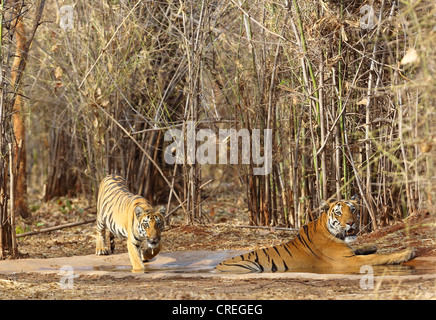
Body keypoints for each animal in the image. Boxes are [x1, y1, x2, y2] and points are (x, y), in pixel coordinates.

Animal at [216, 198, 414, 272]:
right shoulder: (347, 261)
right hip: (250, 265)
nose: (351, 223)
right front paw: (407, 252)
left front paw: (370, 245)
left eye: (353, 210)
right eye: (338, 213)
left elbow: (360, 248)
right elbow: (380, 257)